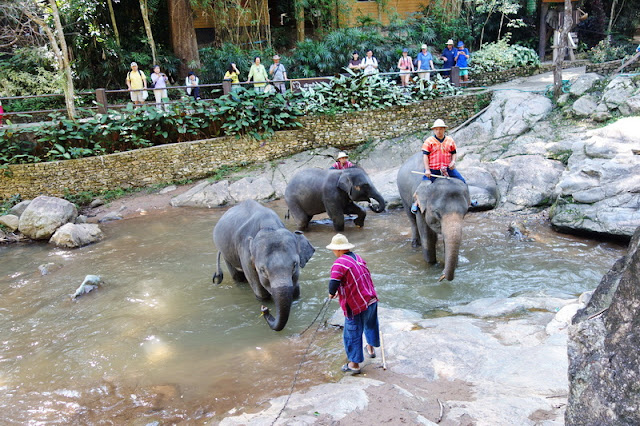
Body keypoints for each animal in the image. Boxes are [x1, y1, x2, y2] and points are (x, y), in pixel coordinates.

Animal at [214, 198, 316, 332]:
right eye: (262, 270)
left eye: (295, 265)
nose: (264, 310)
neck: (269, 226)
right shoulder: (245, 255)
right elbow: (259, 289)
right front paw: (264, 301)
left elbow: (296, 290)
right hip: (226, 253)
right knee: (237, 276)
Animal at [396, 151, 470, 282]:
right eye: (437, 213)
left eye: (465, 212)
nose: (442, 276)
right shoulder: (420, 205)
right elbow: (427, 236)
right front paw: (431, 265)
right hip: (403, 195)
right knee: (411, 219)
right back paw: (415, 244)